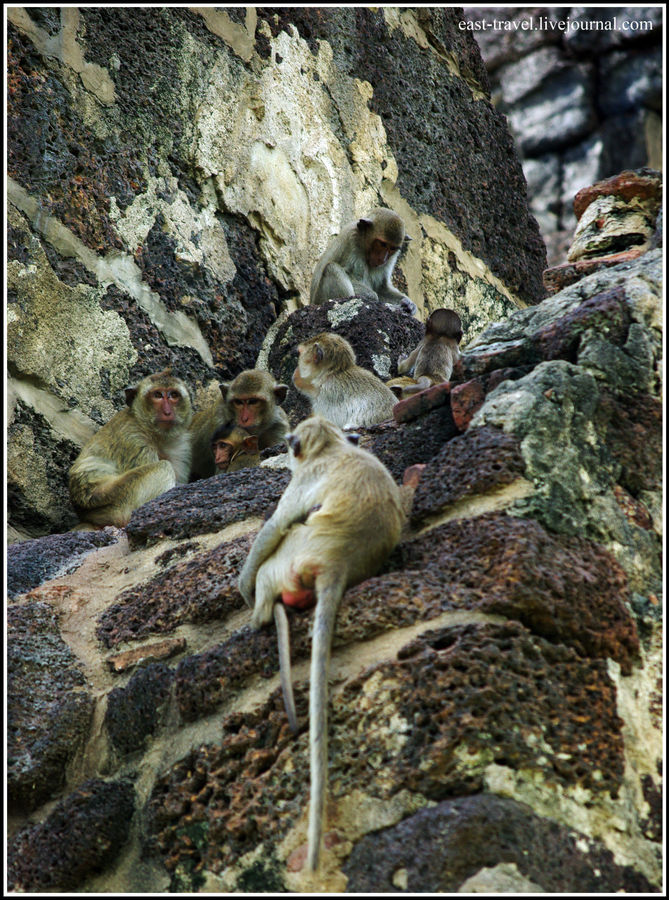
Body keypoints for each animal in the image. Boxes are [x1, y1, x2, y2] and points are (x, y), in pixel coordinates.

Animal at [69, 370, 192, 532]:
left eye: (173, 395)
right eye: (157, 395)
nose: (167, 412)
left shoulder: (180, 448)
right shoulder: (134, 440)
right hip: (117, 501)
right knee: (163, 467)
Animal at [237, 416, 404, 872]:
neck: (335, 447)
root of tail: (338, 563)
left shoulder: (305, 479)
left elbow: (274, 527)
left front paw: (242, 588)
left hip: (295, 556)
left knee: (280, 546)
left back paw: (260, 613)